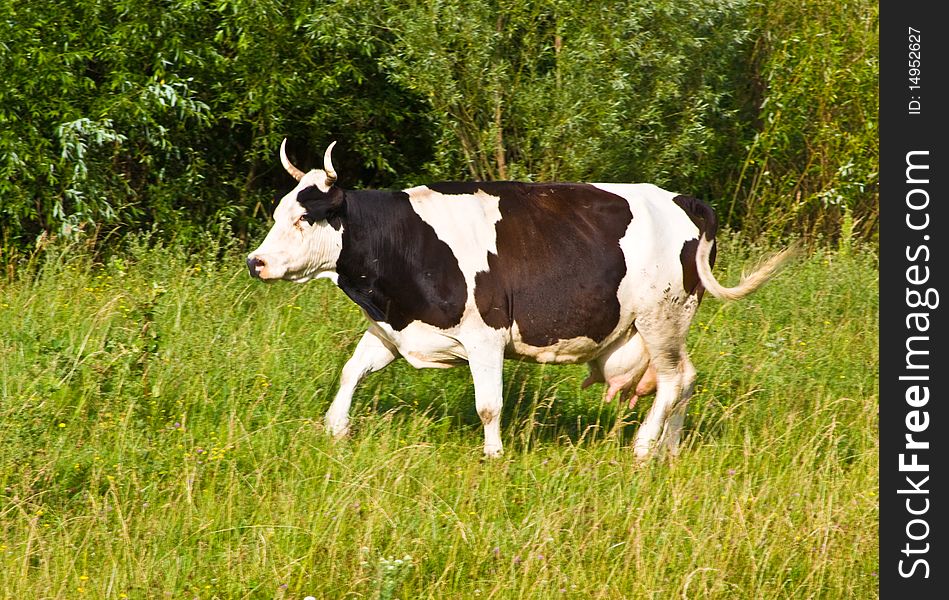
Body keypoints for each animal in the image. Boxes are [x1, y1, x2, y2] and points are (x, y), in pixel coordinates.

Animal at [247, 140, 793, 459]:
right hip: (666, 326)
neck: (404, 241)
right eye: (277, 213)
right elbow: (351, 372)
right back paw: (669, 450)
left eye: (304, 218)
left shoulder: (485, 335)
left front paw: (494, 456)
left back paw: (643, 448)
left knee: (674, 381)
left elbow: (488, 405)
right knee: (683, 380)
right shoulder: (393, 329)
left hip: (662, 317)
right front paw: (335, 428)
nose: (256, 262)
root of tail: (683, 199)